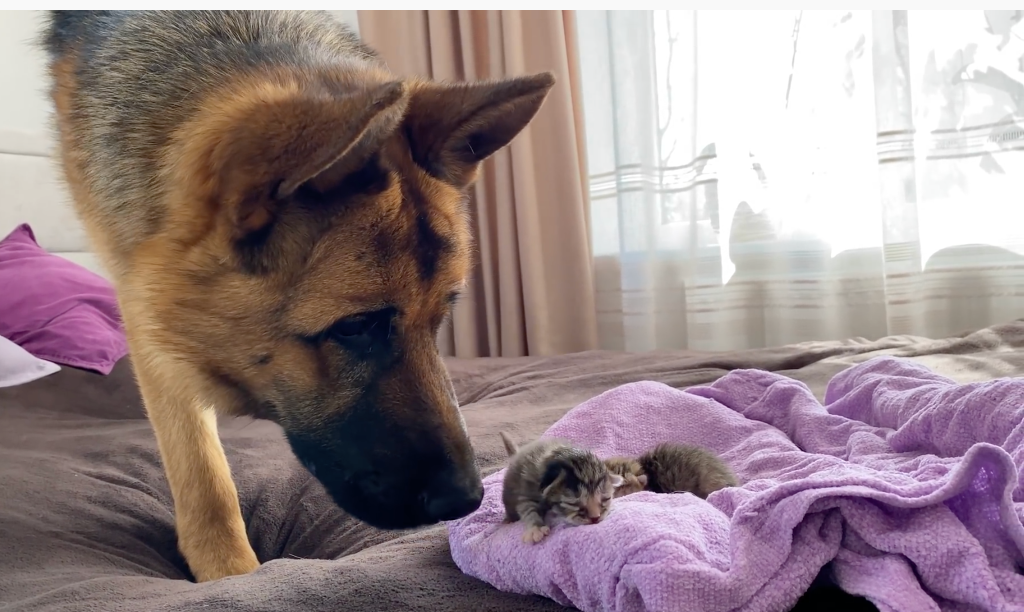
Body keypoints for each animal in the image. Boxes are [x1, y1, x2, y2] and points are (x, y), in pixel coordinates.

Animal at [41, 10, 552, 585]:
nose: (466, 500)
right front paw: (229, 573)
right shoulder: (144, 304)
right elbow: (200, 465)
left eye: (442, 316)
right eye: (355, 326)